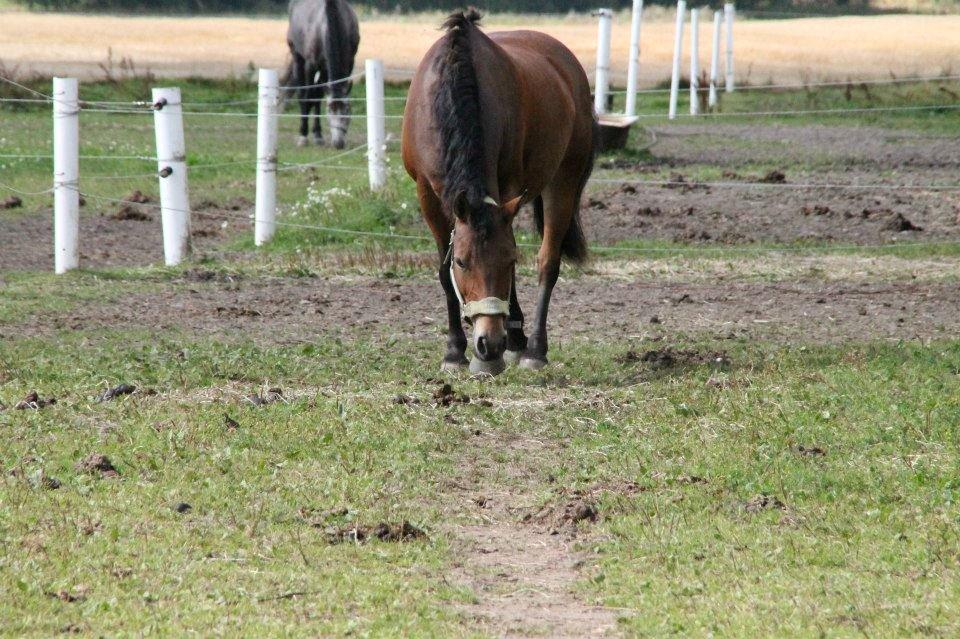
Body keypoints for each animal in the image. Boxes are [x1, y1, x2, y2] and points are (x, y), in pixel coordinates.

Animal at [288, 0, 360, 150]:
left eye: (347, 110)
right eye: (329, 111)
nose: (338, 143)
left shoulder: (348, 62)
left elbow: (318, 96)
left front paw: (318, 135)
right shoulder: (311, 65)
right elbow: (308, 97)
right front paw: (303, 136)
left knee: (317, 94)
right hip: (298, 59)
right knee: (302, 94)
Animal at [398, 10, 592, 376]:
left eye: (509, 259)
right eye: (462, 261)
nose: (489, 343)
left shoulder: (509, 188)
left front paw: (500, 350)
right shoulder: (427, 194)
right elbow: (443, 273)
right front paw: (454, 352)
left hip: (563, 181)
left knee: (548, 262)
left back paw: (533, 349)